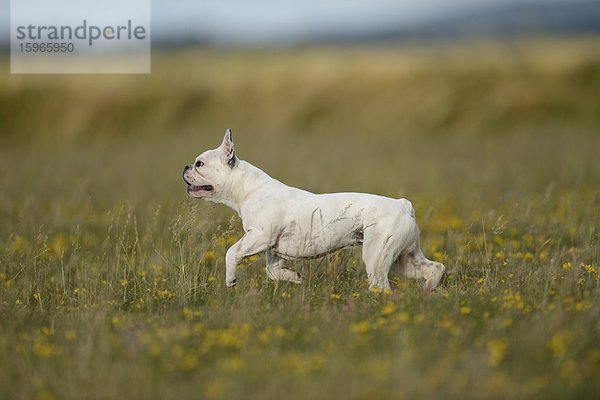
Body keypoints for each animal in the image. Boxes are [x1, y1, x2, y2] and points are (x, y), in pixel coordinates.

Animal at [183, 130, 446, 292]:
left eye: (199, 164)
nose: (185, 167)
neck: (247, 188)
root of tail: (403, 205)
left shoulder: (258, 237)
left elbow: (231, 252)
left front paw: (230, 279)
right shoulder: (272, 250)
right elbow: (272, 271)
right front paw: (294, 277)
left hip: (377, 255)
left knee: (382, 286)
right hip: (405, 259)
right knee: (434, 268)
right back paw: (428, 291)